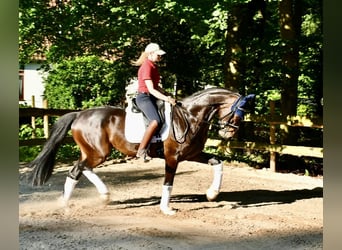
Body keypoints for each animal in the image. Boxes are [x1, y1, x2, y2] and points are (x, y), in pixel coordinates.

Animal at [28, 87, 254, 215]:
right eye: (238, 112)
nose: (228, 134)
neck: (189, 117)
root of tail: (79, 114)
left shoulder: (193, 155)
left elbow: (218, 162)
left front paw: (212, 194)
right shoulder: (172, 157)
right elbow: (168, 182)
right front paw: (166, 209)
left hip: (92, 151)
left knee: (81, 169)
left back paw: (100, 196)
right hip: (98, 153)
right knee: (78, 170)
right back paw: (69, 204)